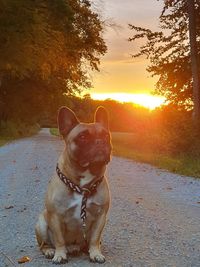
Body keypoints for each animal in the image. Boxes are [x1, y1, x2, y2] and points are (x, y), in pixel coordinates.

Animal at [35, 106, 111, 264]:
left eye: (106, 136)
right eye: (82, 137)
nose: (100, 141)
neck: (83, 186)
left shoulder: (101, 216)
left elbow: (95, 238)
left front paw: (95, 253)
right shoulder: (55, 216)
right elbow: (59, 239)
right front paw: (59, 254)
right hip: (41, 224)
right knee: (44, 244)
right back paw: (50, 251)